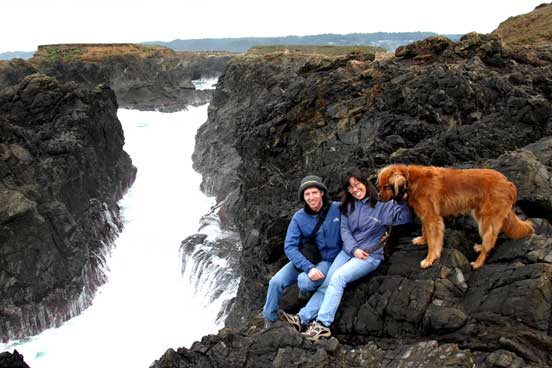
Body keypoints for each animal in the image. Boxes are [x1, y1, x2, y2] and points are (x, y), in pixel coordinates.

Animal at [378, 165, 532, 268]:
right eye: (380, 186)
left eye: (386, 186)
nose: (378, 198)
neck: (411, 179)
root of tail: (509, 183)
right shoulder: (426, 215)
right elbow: (424, 230)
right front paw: (422, 240)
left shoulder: (432, 218)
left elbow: (433, 241)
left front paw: (430, 258)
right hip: (480, 214)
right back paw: (480, 248)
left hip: (487, 219)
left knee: (489, 242)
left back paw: (478, 262)